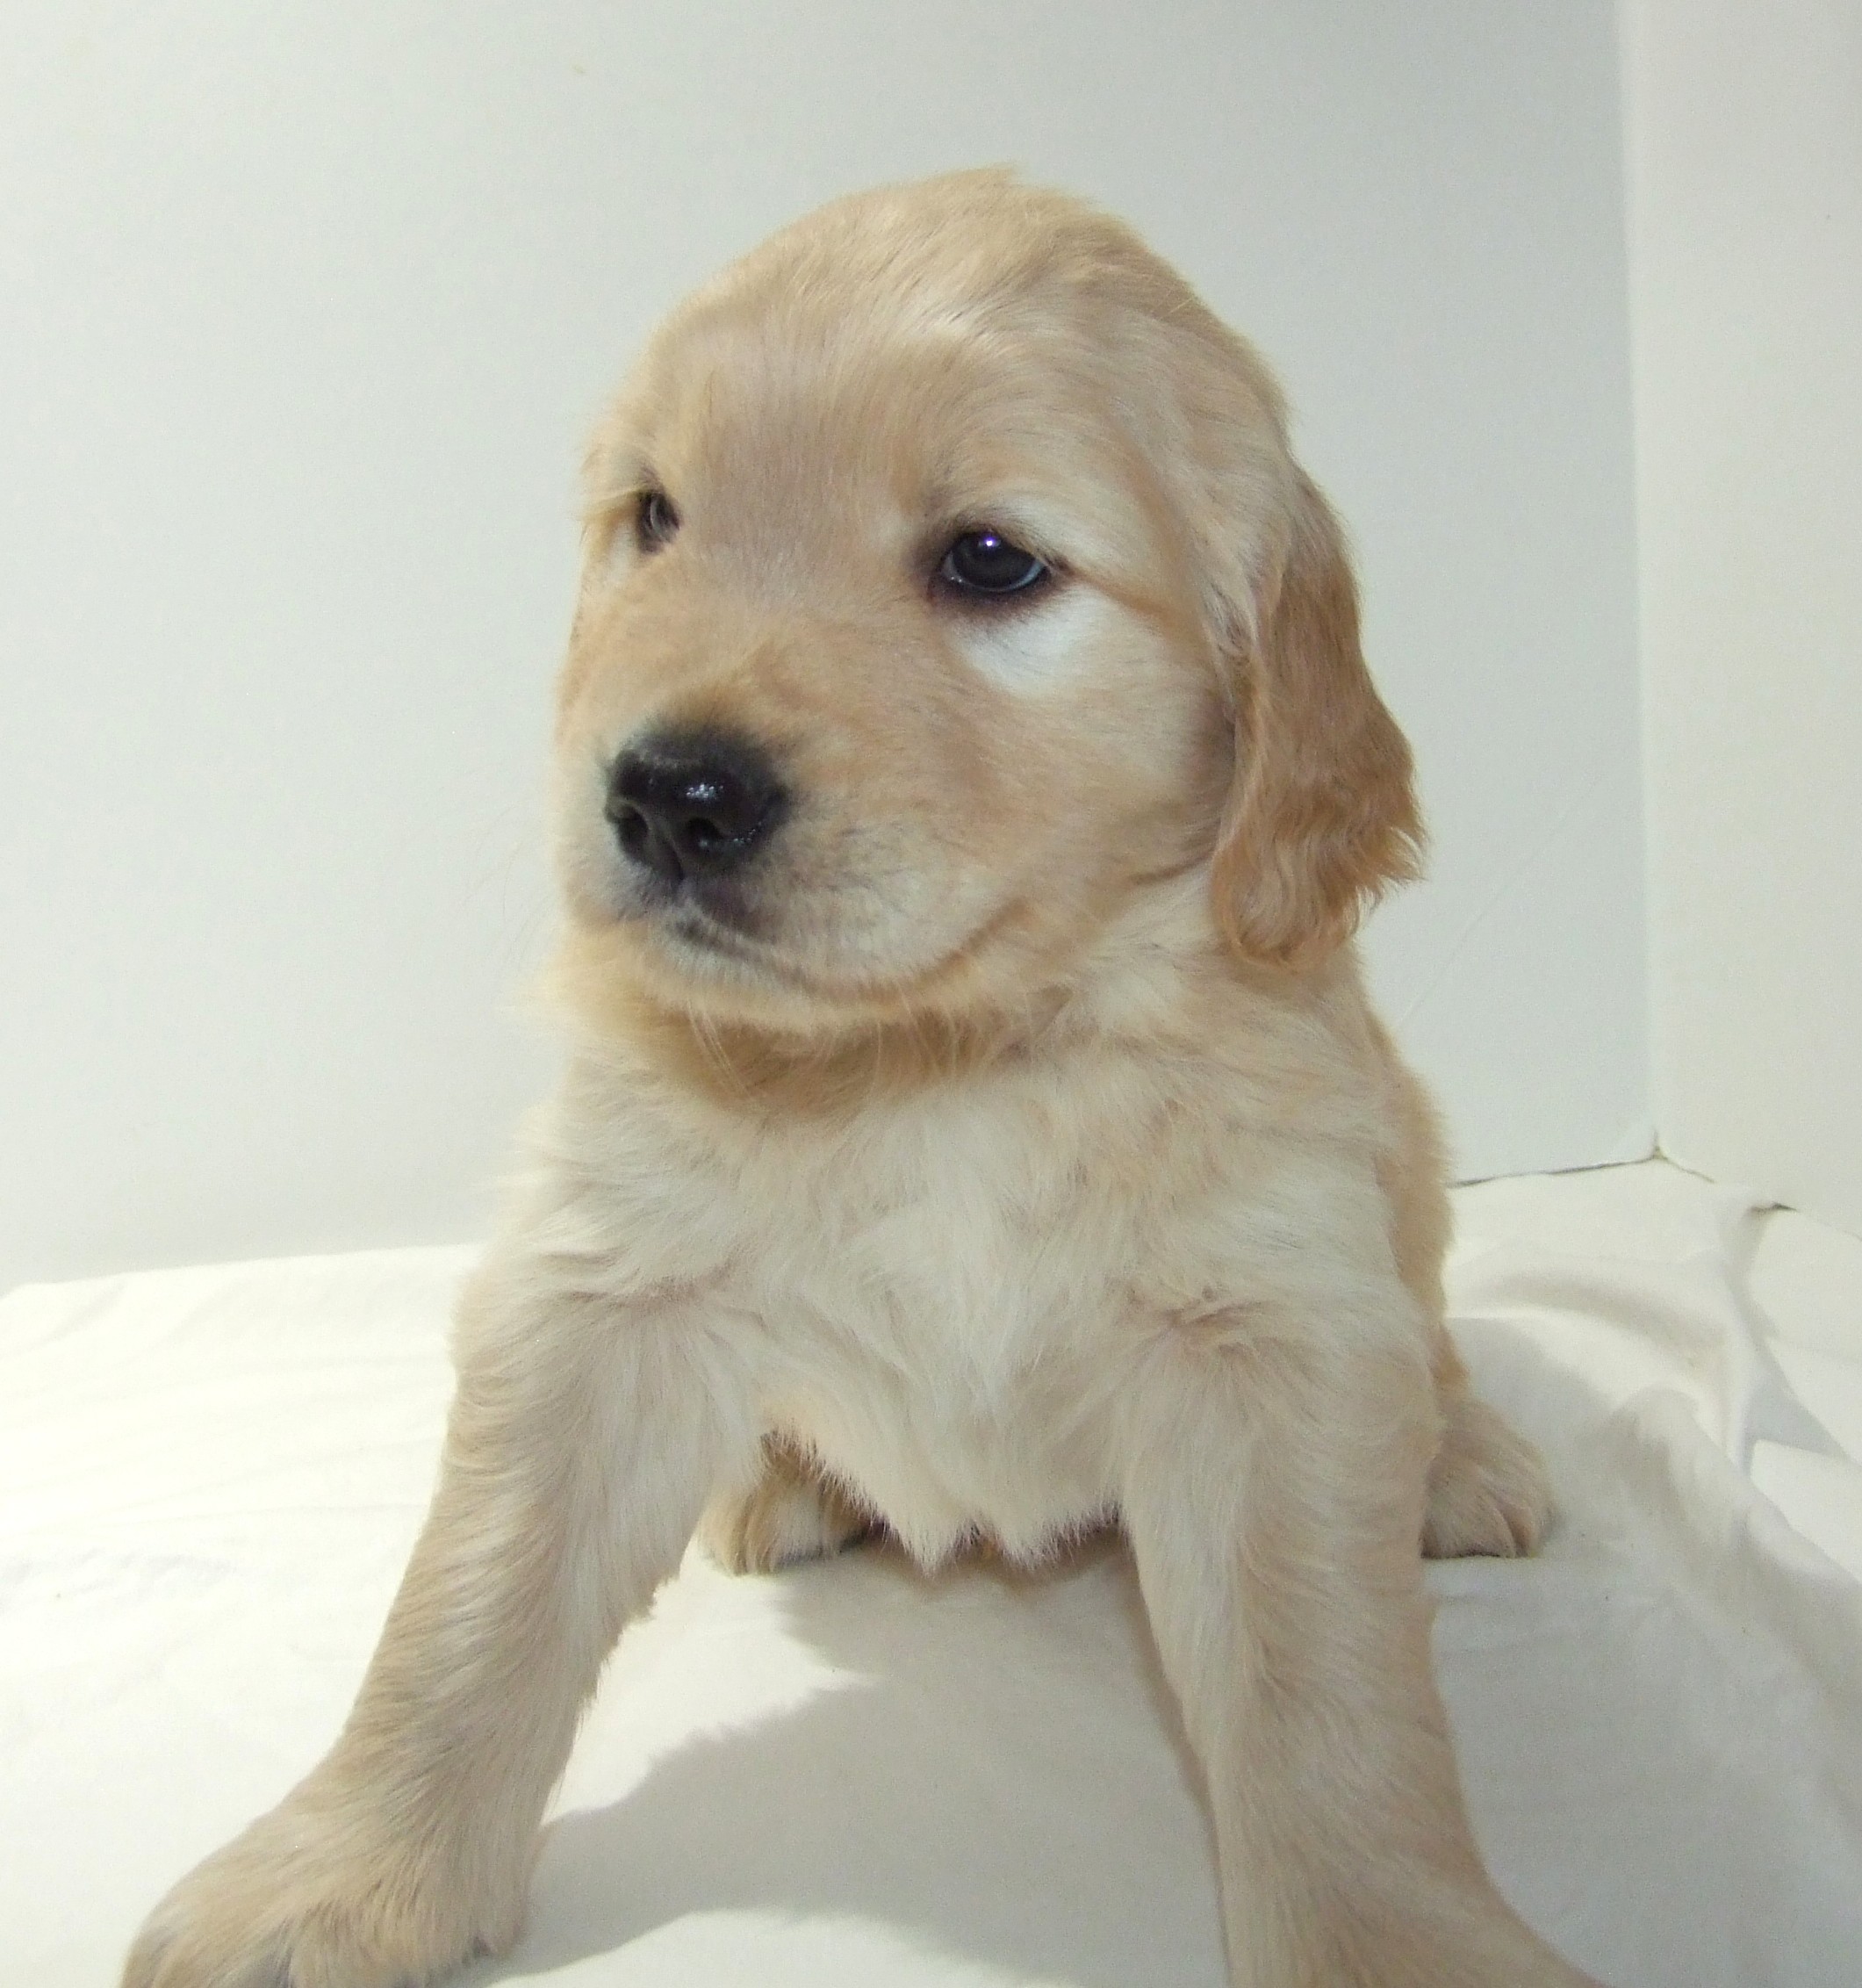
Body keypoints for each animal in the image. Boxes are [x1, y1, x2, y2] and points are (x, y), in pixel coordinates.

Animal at [123, 170, 1600, 1988]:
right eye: (656, 516)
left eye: (990, 558)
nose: (667, 792)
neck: (937, 1059)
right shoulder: (596, 1293)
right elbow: (468, 1603)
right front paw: (341, 1872)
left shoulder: (1276, 1324)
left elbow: (1333, 1702)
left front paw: (1399, 1932)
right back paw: (780, 1476)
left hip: (1404, 1159)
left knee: (1434, 1342)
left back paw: (1457, 1460)